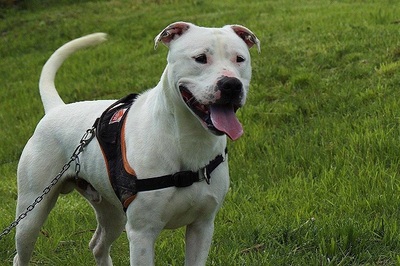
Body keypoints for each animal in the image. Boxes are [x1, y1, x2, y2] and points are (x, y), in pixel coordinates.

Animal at [13, 21, 260, 264]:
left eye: (240, 59)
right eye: (200, 58)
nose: (231, 85)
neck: (187, 139)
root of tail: (56, 109)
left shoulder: (202, 227)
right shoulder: (143, 234)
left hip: (112, 212)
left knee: (98, 245)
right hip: (31, 213)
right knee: (21, 253)